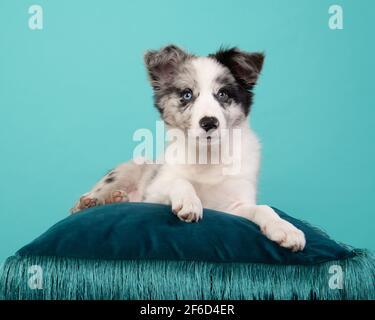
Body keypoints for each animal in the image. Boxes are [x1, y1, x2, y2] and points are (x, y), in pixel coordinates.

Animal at [70, 45, 306, 251]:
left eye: (223, 94)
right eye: (186, 94)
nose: (209, 123)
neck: (207, 157)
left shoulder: (233, 206)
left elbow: (264, 208)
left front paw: (285, 228)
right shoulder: (153, 195)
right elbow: (179, 181)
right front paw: (189, 202)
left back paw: (117, 198)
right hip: (128, 168)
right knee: (79, 205)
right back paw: (90, 202)